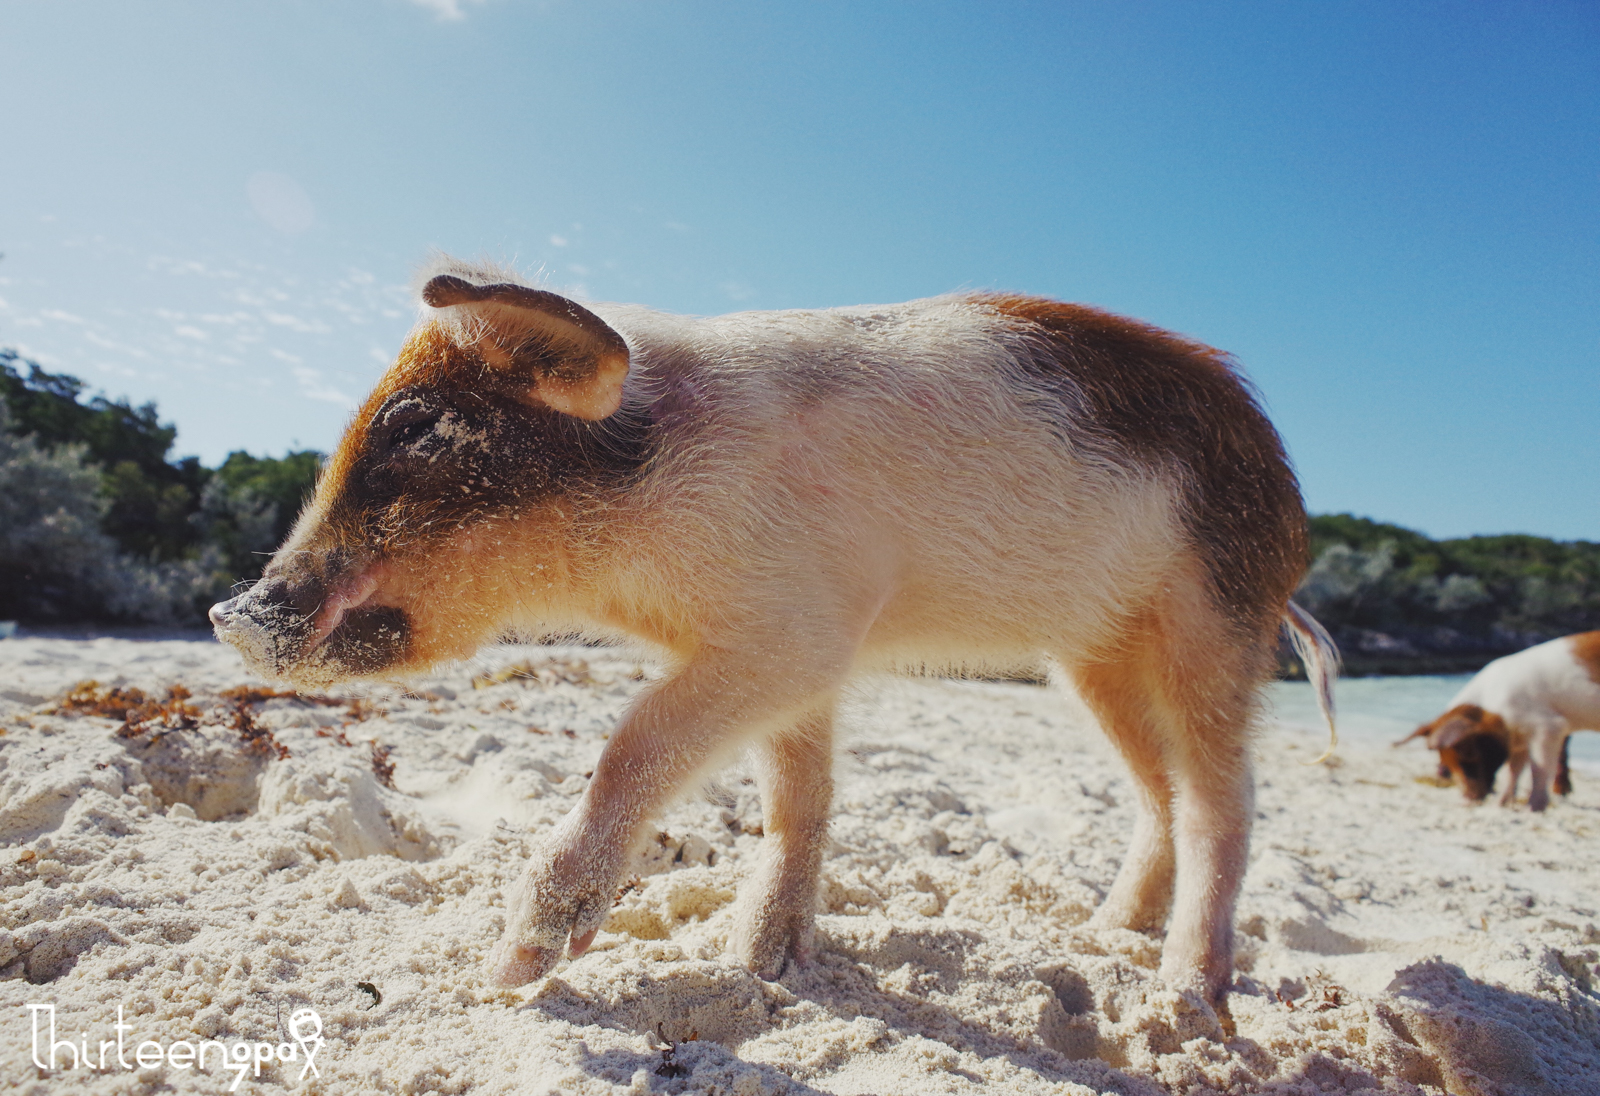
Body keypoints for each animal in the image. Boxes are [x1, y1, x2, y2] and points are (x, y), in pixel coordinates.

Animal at [212, 256, 1337, 998]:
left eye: (412, 430)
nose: (229, 613)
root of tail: (1292, 505)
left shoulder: (791, 634)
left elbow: (636, 744)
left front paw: (515, 972)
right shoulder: (802, 653)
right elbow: (796, 797)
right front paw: (761, 969)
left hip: (1214, 616)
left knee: (1224, 804)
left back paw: (1185, 999)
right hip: (1095, 655)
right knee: (1159, 794)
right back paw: (1110, 932)